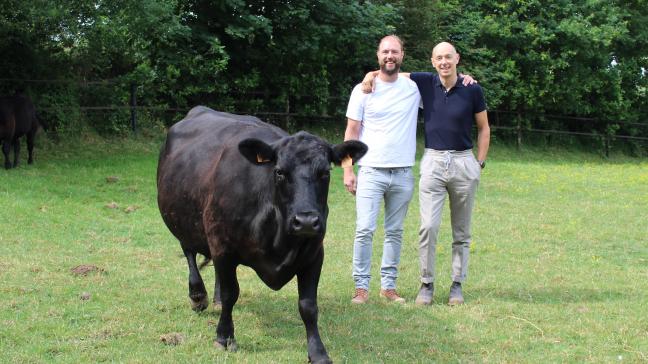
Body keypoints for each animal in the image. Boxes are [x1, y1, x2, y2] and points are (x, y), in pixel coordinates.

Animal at [156, 106, 368, 362]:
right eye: (279, 172)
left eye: (325, 173)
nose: (306, 221)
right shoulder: (223, 246)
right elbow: (231, 293)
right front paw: (224, 337)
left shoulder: (314, 254)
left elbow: (308, 306)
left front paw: (317, 352)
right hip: (182, 220)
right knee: (189, 254)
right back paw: (198, 296)